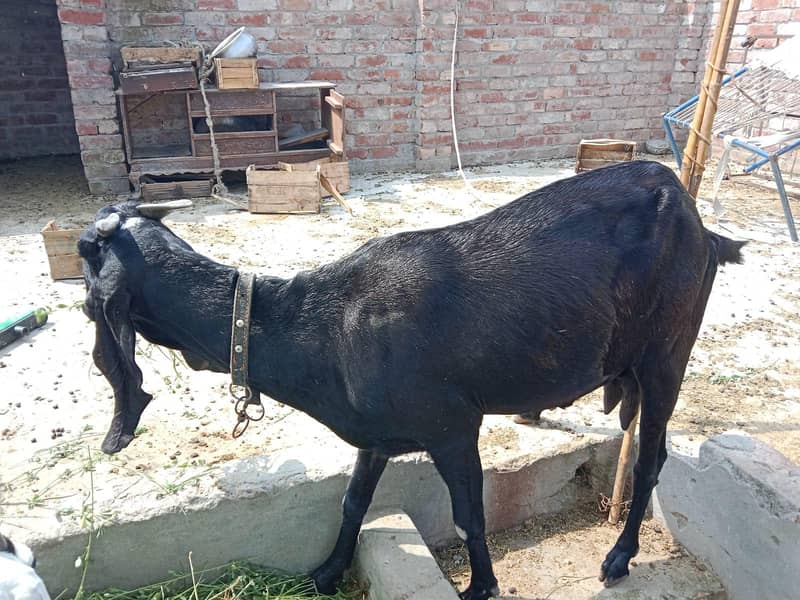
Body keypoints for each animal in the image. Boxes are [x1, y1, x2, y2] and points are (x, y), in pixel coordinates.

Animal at [79, 161, 744, 599]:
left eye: (89, 301)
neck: (321, 327)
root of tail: (699, 222)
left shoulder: (452, 427)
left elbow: (469, 514)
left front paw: (480, 587)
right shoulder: (375, 434)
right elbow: (352, 500)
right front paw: (327, 572)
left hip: (667, 356)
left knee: (653, 457)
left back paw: (619, 557)